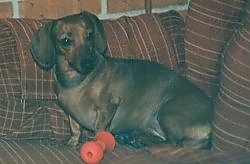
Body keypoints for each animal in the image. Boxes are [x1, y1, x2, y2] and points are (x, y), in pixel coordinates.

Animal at [29, 10, 213, 148]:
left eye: (90, 35)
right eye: (66, 41)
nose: (89, 63)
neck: (77, 82)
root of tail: (210, 127)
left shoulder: (107, 108)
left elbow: (99, 129)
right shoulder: (71, 115)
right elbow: (75, 129)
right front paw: (72, 143)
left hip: (167, 112)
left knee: (174, 143)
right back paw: (132, 138)